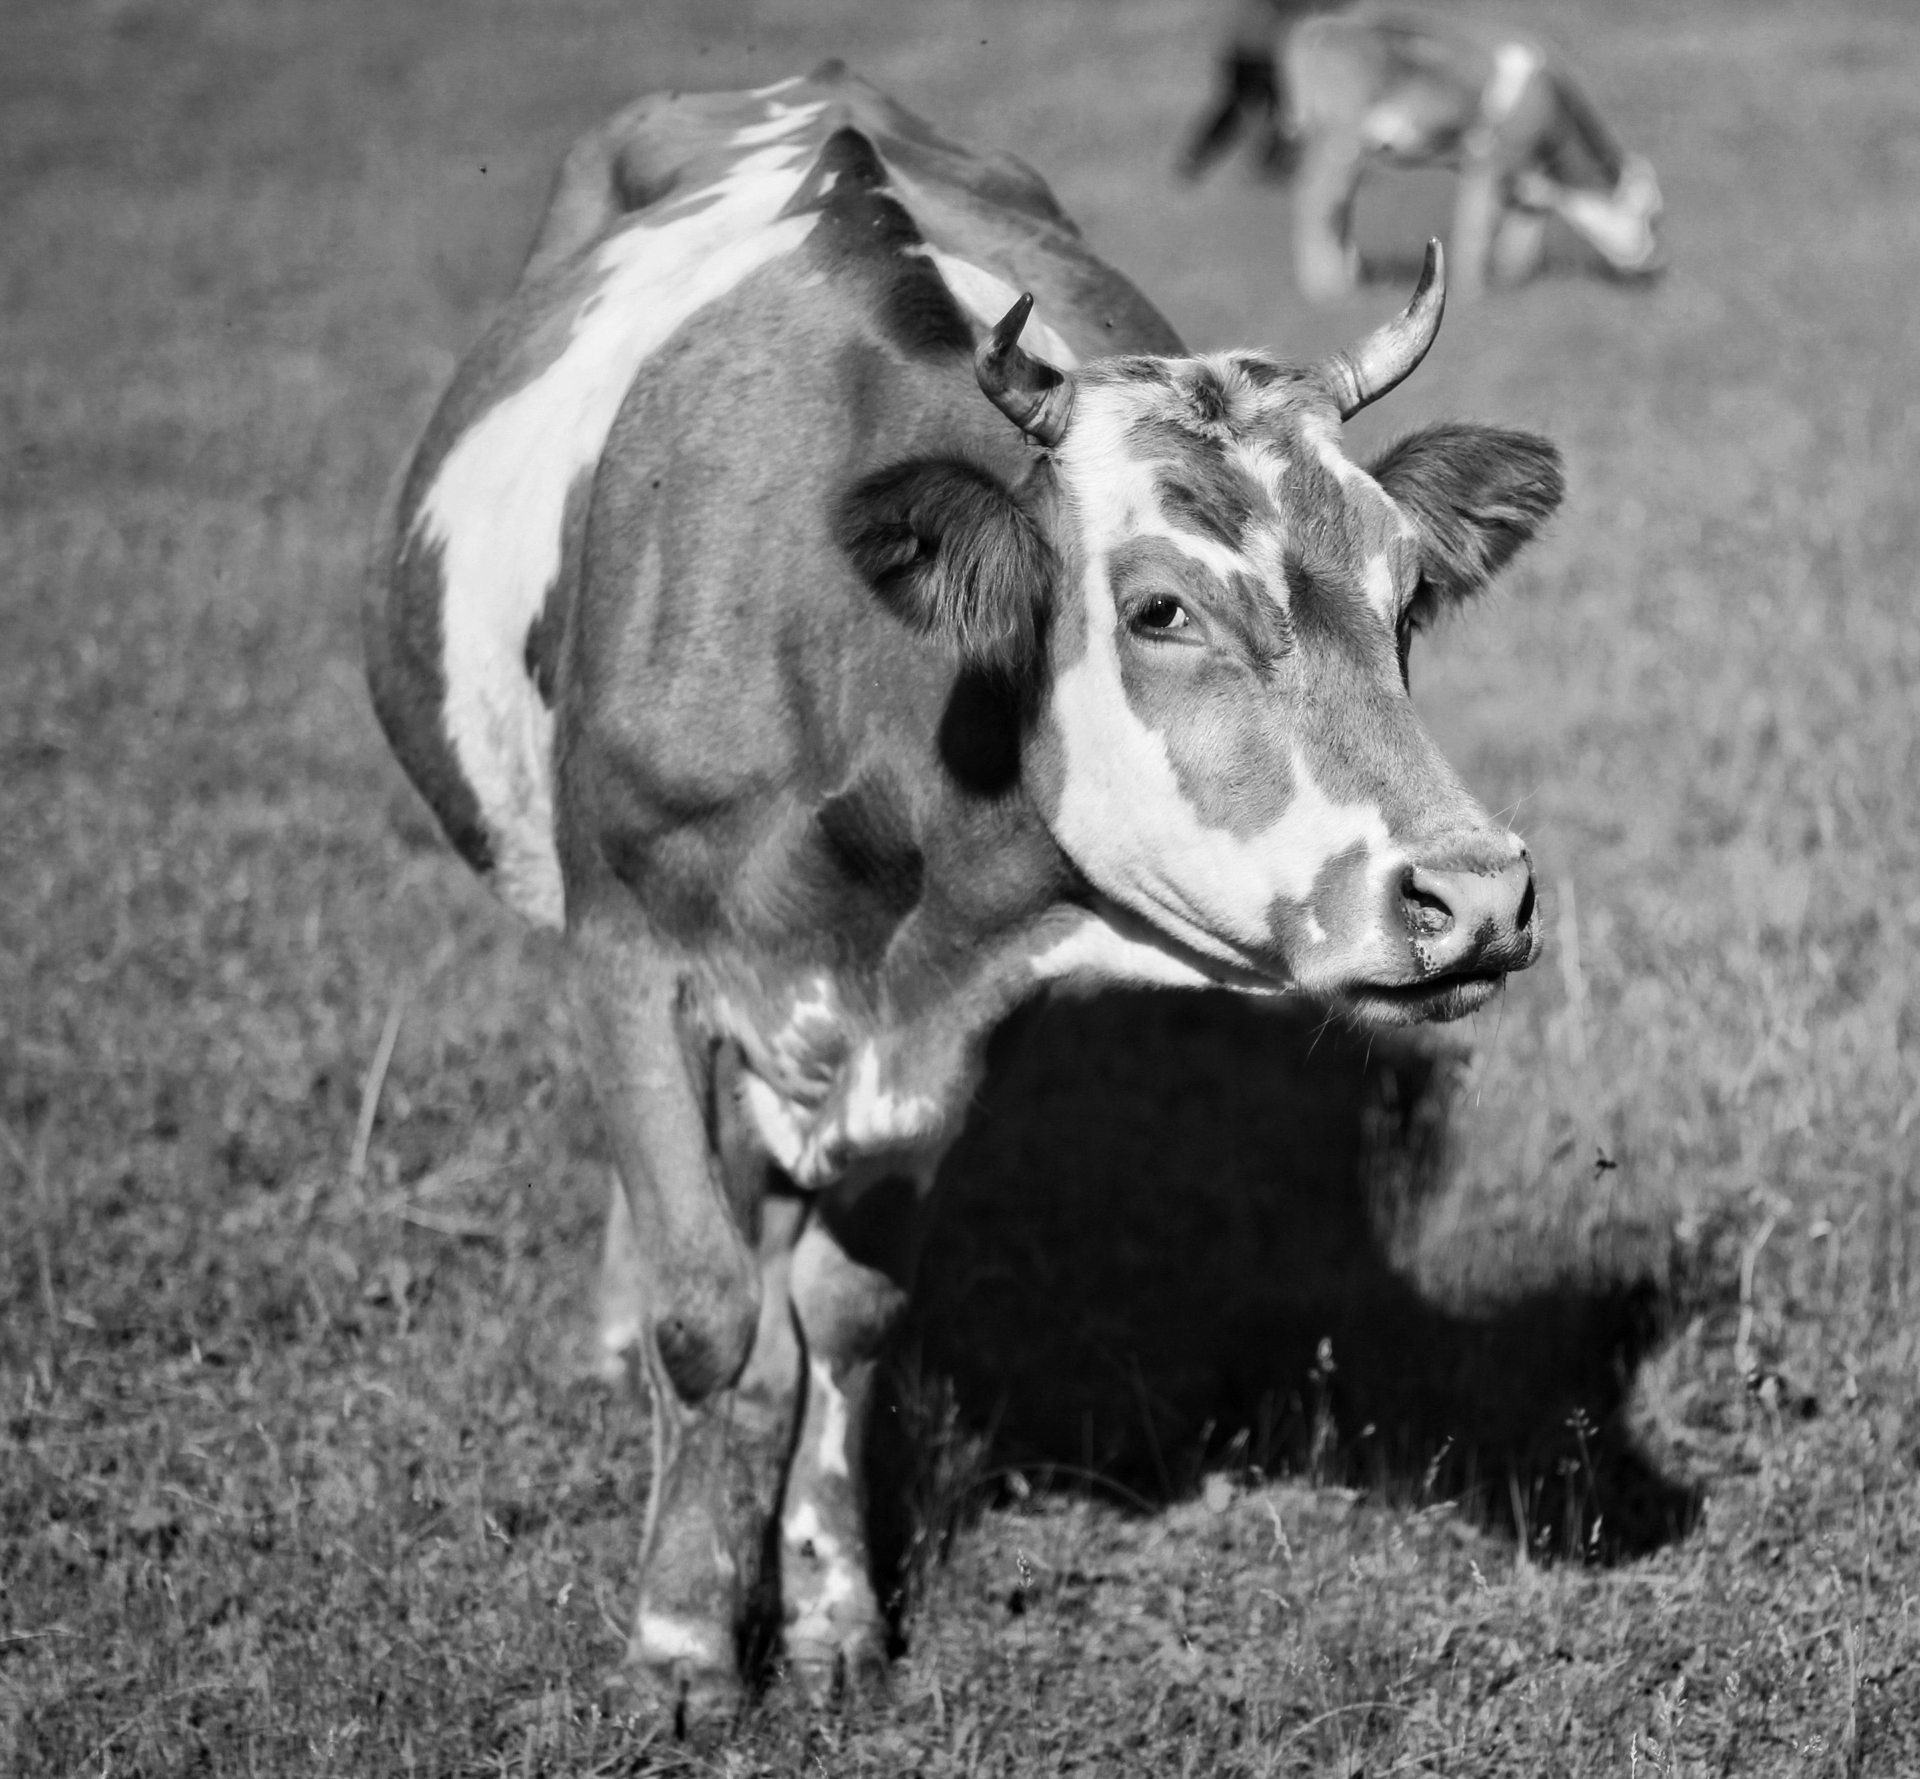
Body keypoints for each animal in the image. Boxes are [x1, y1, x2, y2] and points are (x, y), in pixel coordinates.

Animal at [365, 60, 1563, 1723]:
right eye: (1159, 606)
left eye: (1409, 599)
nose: (1477, 892)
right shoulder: (626, 948)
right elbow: (703, 1305)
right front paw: (681, 1633)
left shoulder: (958, 1017)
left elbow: (844, 1313)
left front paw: (830, 1609)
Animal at [1197, 7, 1665, 303]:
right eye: (1653, 216)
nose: (1652, 266)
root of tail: (1323, 24)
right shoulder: (1492, 159)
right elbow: (1477, 224)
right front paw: (1474, 292)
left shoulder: (1528, 176)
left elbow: (1523, 235)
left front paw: (1513, 281)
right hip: (1337, 140)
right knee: (1316, 201)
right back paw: (1326, 290)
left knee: (1338, 205)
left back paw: (1351, 277)